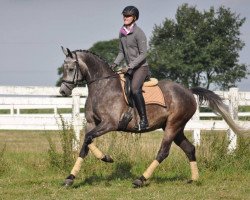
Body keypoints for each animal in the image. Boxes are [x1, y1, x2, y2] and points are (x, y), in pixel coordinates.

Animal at [58, 47, 242, 188]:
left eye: (71, 69)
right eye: (63, 68)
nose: (63, 91)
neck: (103, 86)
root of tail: (189, 91)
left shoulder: (109, 124)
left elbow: (88, 139)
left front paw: (107, 158)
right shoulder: (91, 123)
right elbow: (85, 145)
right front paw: (70, 178)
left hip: (173, 126)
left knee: (163, 152)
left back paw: (141, 179)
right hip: (176, 128)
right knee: (190, 149)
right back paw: (194, 179)